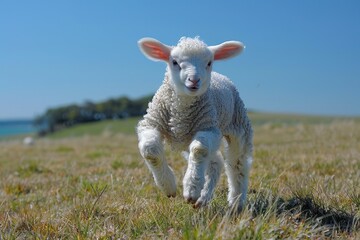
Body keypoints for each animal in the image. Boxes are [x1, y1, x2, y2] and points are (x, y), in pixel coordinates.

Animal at [137, 36, 253, 212]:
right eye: (174, 62)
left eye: (209, 62)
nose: (194, 80)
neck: (180, 113)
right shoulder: (153, 122)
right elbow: (150, 150)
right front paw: (168, 186)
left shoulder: (209, 128)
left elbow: (199, 150)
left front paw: (191, 190)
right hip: (189, 139)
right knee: (216, 162)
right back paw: (203, 199)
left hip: (238, 124)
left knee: (237, 163)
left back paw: (235, 202)